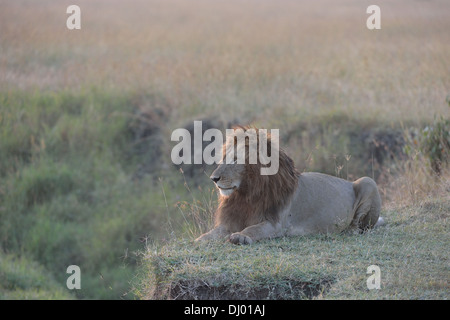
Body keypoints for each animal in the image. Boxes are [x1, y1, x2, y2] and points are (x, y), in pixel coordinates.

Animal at [195, 126, 382, 244]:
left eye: (235, 160)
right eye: (223, 159)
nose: (213, 178)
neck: (246, 195)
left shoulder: (276, 223)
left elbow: (254, 229)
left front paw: (240, 237)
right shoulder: (232, 220)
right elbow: (212, 233)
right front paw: (199, 240)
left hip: (368, 182)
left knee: (360, 225)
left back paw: (349, 230)